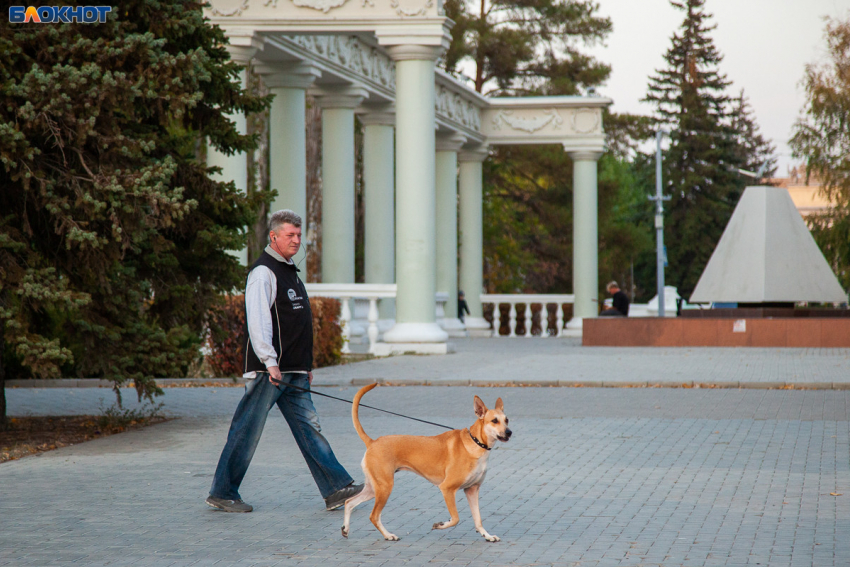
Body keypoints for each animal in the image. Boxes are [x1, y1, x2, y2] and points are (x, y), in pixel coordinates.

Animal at [340, 384, 510, 544]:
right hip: (384, 488)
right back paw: (388, 535)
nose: (509, 432)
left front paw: (487, 536)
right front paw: (441, 524)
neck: (476, 443)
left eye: (507, 420)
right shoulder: (447, 489)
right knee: (374, 516)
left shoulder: (472, 490)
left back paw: (346, 528)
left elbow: (478, 520)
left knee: (349, 502)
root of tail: (373, 442)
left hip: (373, 488)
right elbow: (455, 518)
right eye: (494, 421)